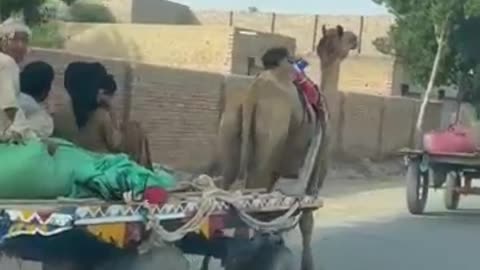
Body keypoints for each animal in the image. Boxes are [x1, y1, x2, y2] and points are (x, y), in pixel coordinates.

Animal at [202, 24, 356, 270]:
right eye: (344, 37)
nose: (355, 39)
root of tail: (252, 93)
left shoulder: (277, 170)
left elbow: (271, 213)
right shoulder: (317, 170)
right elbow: (306, 217)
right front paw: (306, 264)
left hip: (231, 133)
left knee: (226, 194)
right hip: (271, 134)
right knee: (248, 199)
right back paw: (241, 256)